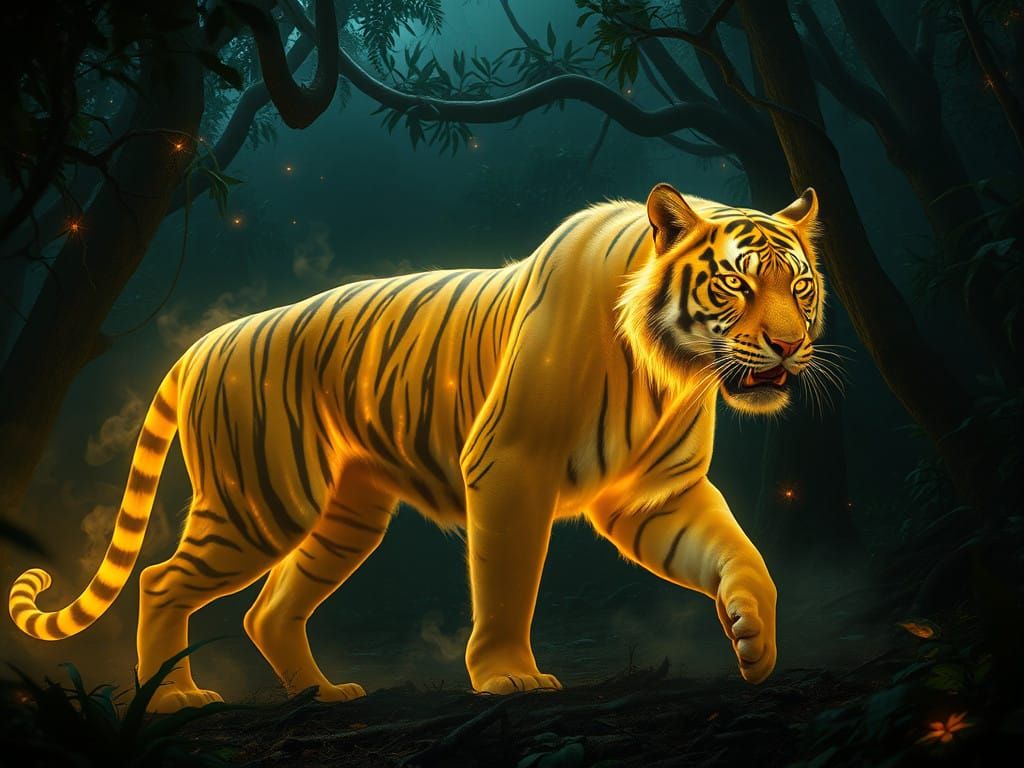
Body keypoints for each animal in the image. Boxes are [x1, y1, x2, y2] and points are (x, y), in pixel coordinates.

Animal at [9, 183, 823, 712]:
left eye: (802, 287)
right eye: (735, 285)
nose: (791, 346)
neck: (671, 370)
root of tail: (202, 343)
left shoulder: (657, 495)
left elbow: (741, 554)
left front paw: (754, 642)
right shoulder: (508, 466)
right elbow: (507, 583)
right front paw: (508, 677)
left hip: (344, 517)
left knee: (267, 610)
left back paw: (322, 694)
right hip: (261, 505)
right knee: (160, 581)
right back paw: (174, 697)